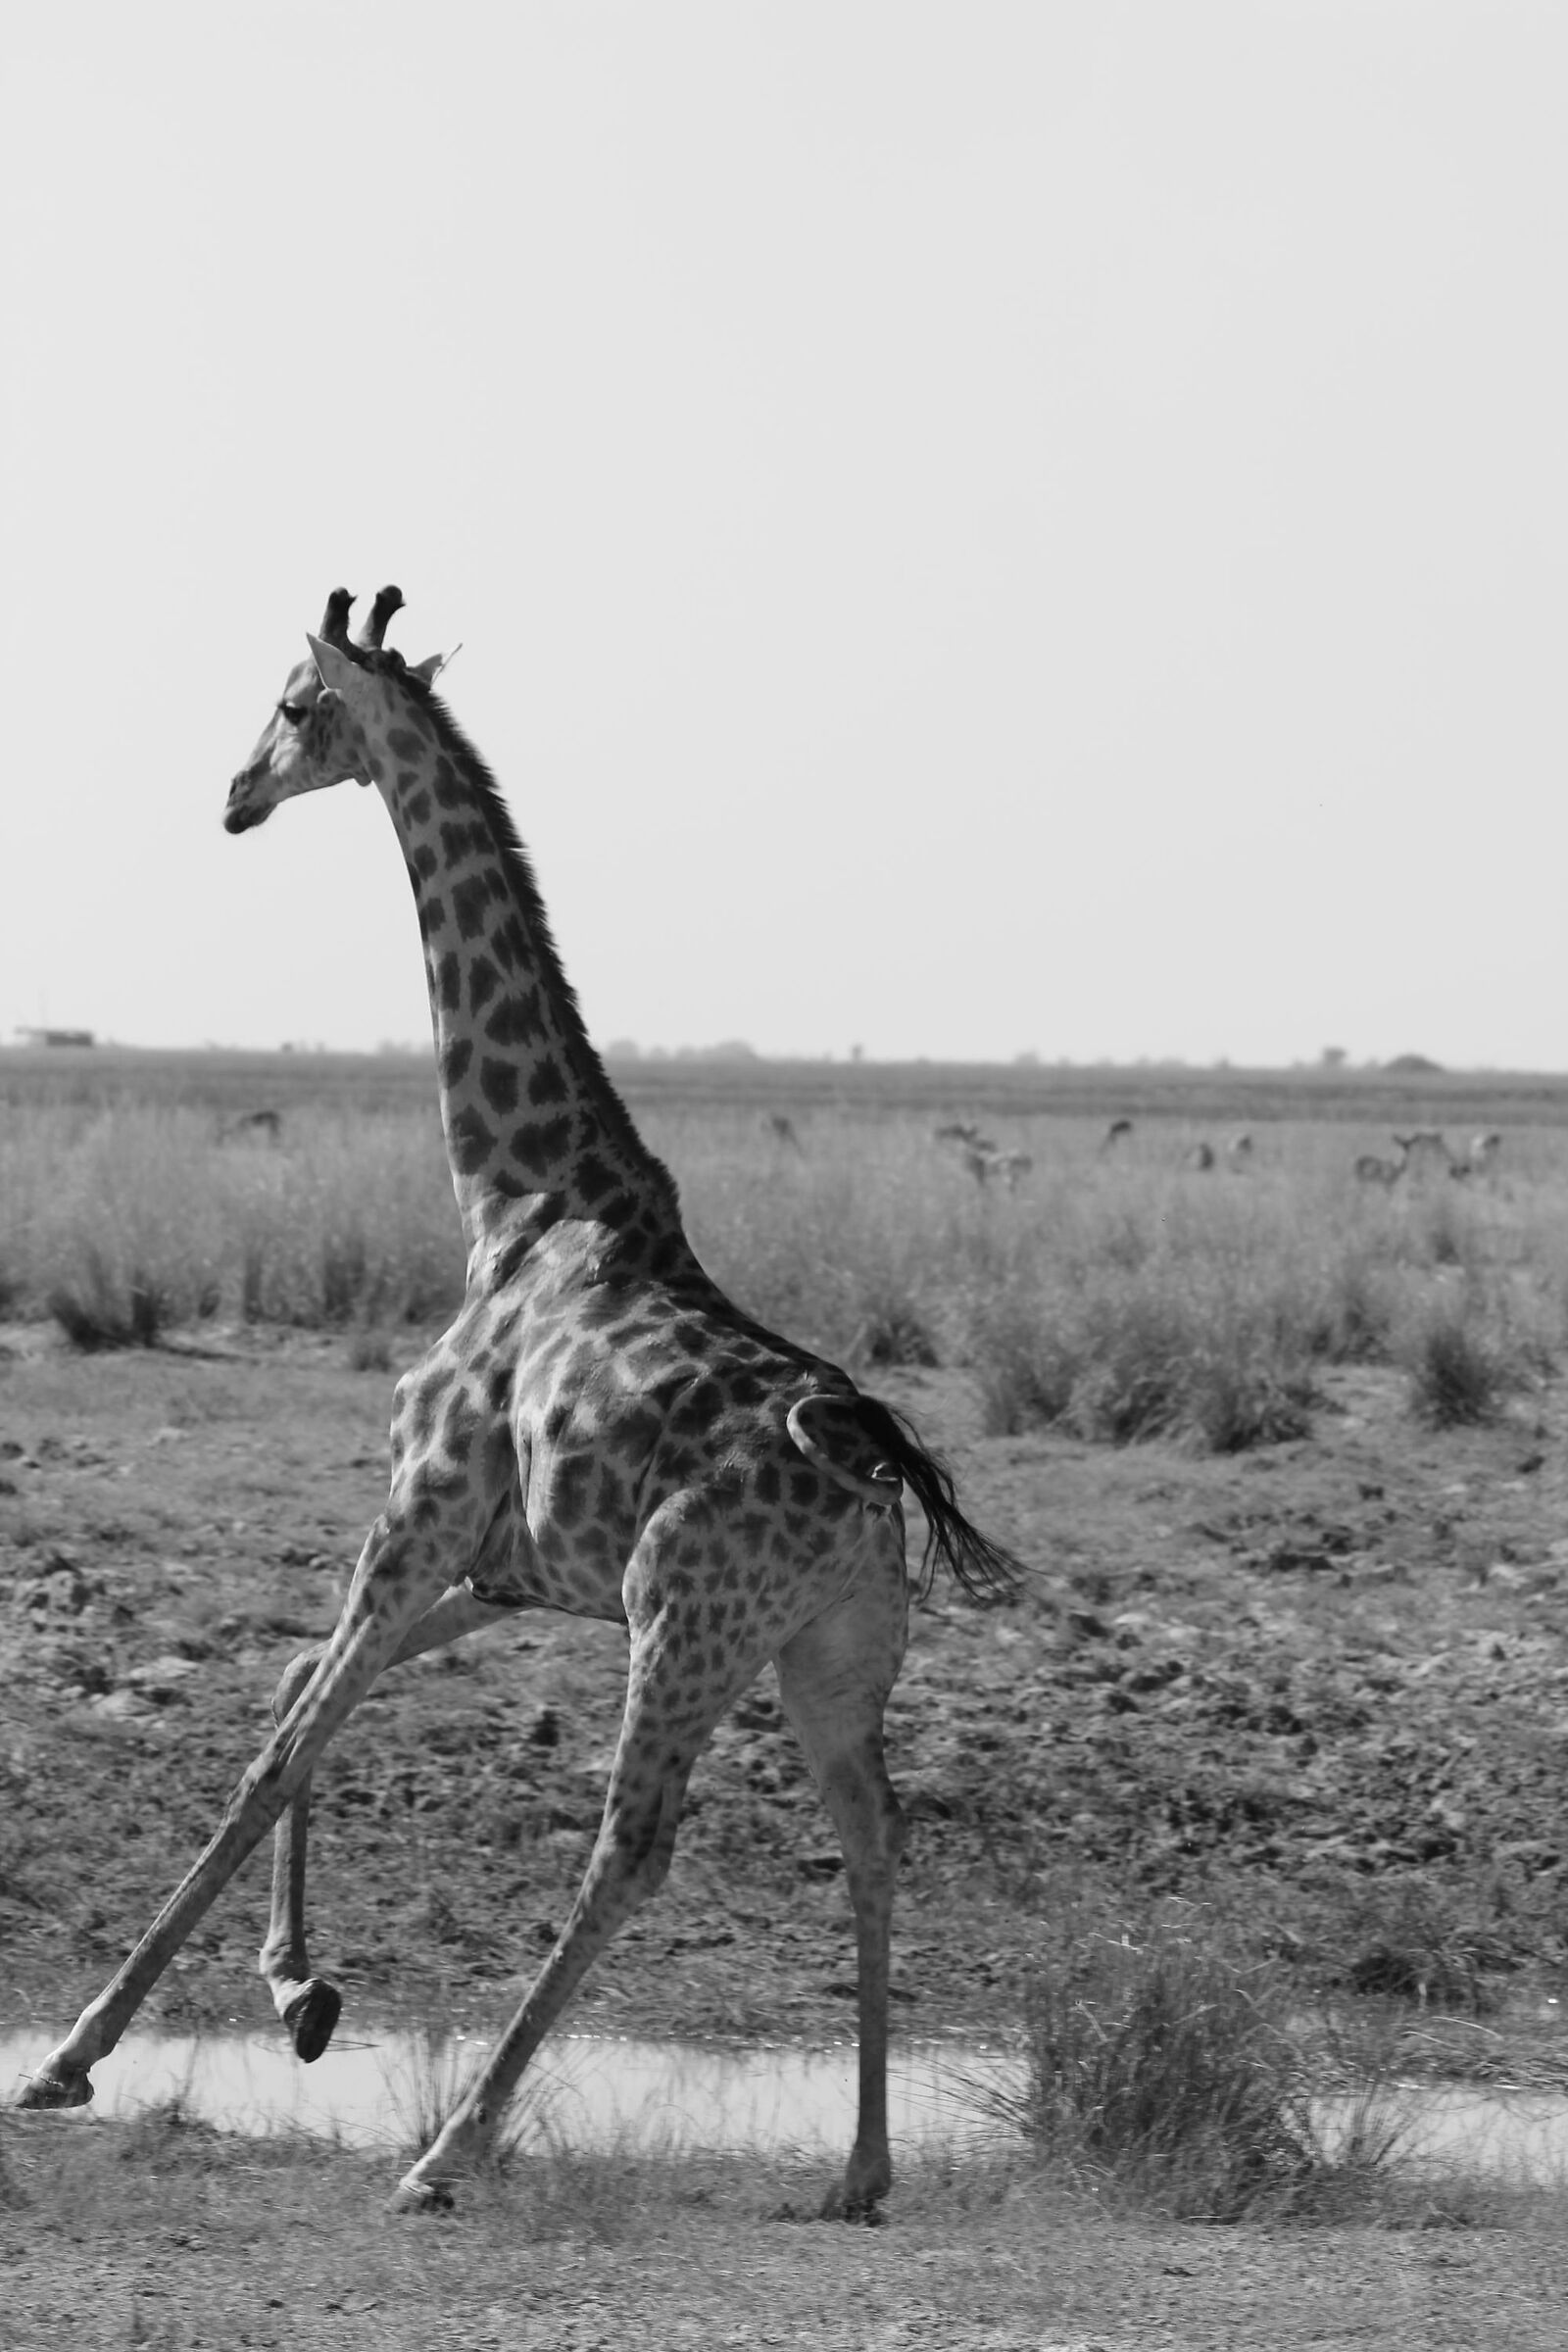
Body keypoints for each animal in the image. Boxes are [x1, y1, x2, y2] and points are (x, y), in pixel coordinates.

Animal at [18, 587, 1021, 2218]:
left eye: (292, 702)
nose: (231, 798)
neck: (513, 1194)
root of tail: (869, 1470)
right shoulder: (500, 1571)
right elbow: (298, 1693)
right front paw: (298, 1993)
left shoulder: (417, 1514)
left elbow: (277, 1747)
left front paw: (70, 2056)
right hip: (833, 1653)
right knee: (877, 1838)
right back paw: (861, 2171)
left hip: (684, 1622)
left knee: (633, 1846)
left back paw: (448, 2151)